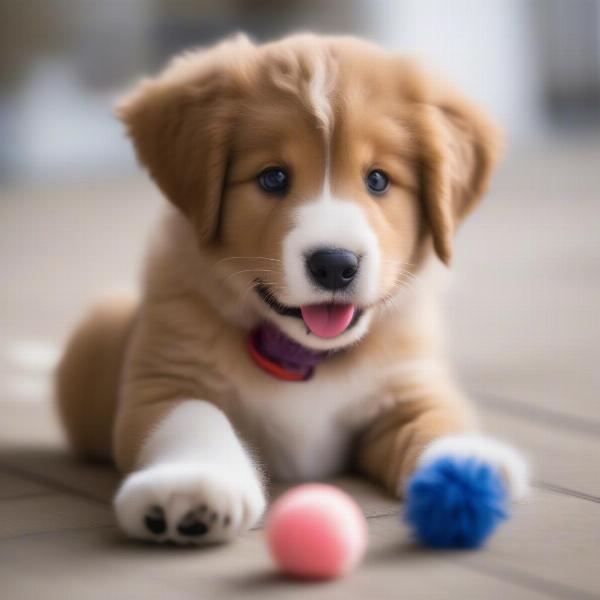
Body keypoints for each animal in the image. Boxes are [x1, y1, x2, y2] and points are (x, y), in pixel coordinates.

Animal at [55, 32, 524, 548]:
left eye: (378, 179)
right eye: (273, 177)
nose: (335, 265)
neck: (304, 356)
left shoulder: (410, 382)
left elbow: (438, 418)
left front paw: (468, 470)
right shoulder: (163, 379)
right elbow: (194, 416)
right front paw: (191, 485)